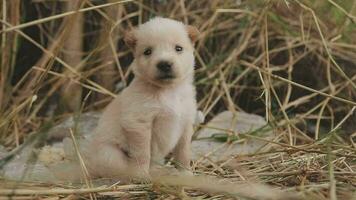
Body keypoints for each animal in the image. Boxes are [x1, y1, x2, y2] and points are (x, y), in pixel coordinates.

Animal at [82, 17, 200, 180]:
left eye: (178, 48)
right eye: (148, 52)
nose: (164, 64)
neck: (168, 91)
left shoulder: (186, 123)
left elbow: (183, 153)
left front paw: (186, 174)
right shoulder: (139, 123)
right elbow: (142, 153)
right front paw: (141, 175)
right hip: (110, 154)